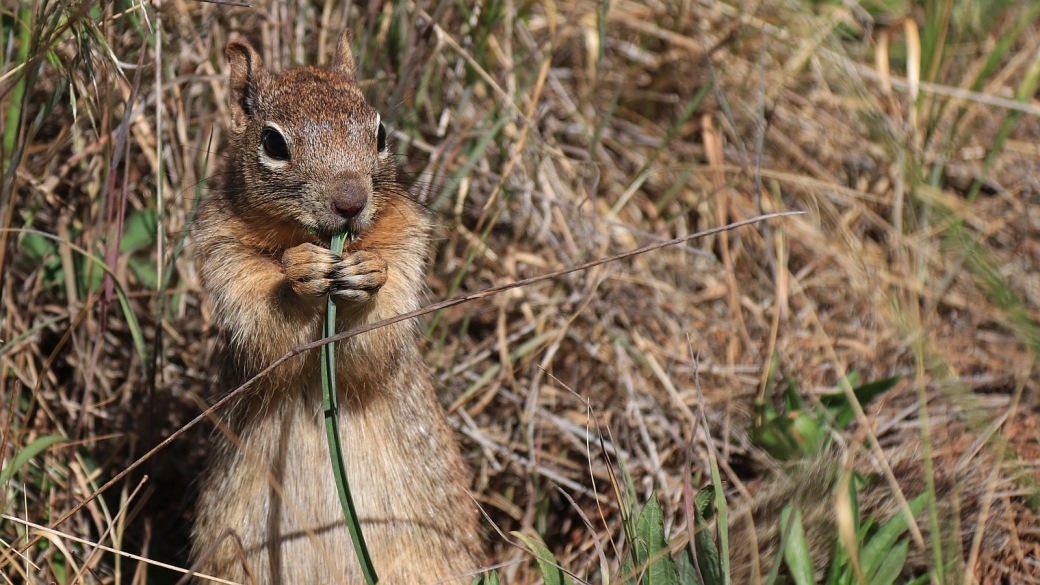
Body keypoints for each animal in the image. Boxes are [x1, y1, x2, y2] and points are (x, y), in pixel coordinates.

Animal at [192, 29, 486, 578]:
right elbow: (270, 338)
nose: (350, 202)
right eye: (273, 143)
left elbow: (374, 347)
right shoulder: (226, 262)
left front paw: (367, 276)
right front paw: (300, 272)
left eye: (381, 133)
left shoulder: (407, 248)